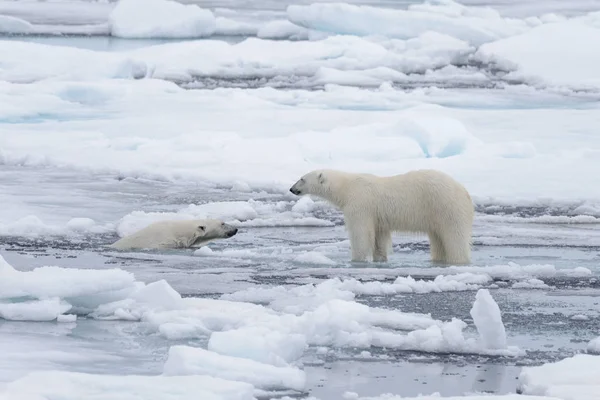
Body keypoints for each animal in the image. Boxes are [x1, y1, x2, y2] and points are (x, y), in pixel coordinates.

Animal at [290, 170, 474, 266]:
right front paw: (380, 259)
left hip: (446, 207)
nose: (292, 189)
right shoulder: (378, 216)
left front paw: (356, 260)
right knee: (438, 240)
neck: (346, 187)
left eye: (302, 179)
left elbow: (360, 234)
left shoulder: (360, 204)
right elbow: (379, 238)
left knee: (455, 237)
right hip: (437, 215)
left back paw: (458, 261)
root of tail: (465, 192)